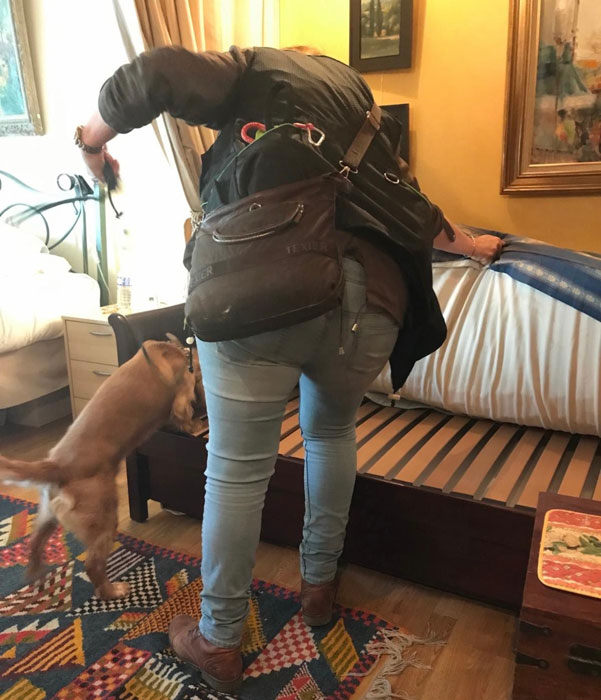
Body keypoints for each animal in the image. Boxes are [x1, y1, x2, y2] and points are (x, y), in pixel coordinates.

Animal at [0, 342, 204, 600]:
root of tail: (57, 466)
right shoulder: (182, 396)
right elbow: (184, 412)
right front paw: (195, 424)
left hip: (48, 516)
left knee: (34, 544)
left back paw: (37, 579)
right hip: (104, 519)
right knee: (92, 565)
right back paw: (113, 591)